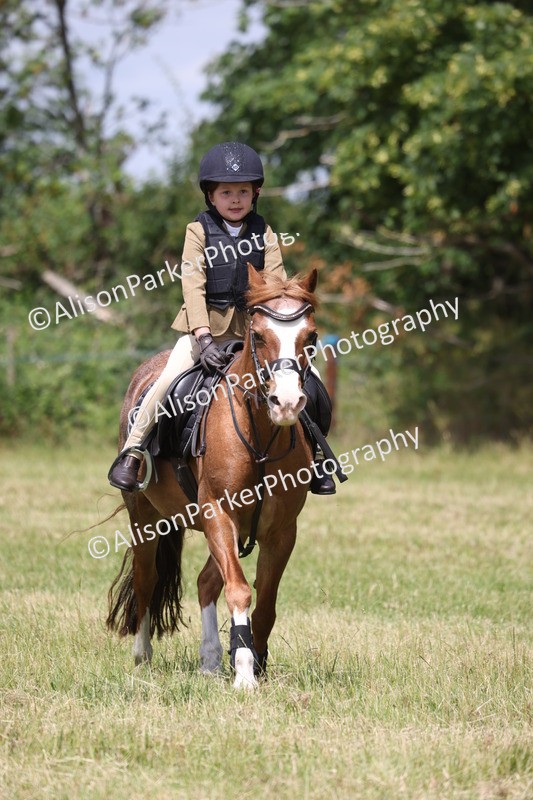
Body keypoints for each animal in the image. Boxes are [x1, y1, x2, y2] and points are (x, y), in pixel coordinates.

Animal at [107, 266, 319, 689]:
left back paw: (209, 659)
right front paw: (245, 677)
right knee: (146, 577)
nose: (287, 403)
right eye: (259, 336)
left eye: (312, 337)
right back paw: (142, 657)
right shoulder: (218, 512)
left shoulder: (280, 531)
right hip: (144, 516)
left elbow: (265, 600)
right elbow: (239, 591)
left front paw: (255, 663)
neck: (260, 435)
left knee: (206, 581)